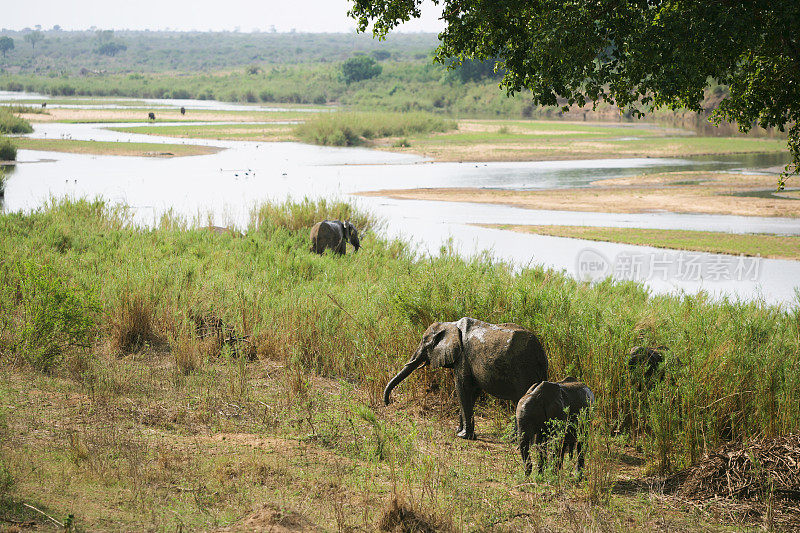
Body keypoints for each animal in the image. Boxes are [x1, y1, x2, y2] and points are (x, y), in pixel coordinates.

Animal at [382, 318, 552, 438]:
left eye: (425, 342)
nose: (387, 403)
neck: (450, 324)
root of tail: (540, 352)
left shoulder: (463, 356)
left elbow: (462, 388)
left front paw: (463, 435)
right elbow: (473, 391)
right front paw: (458, 430)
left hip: (523, 369)